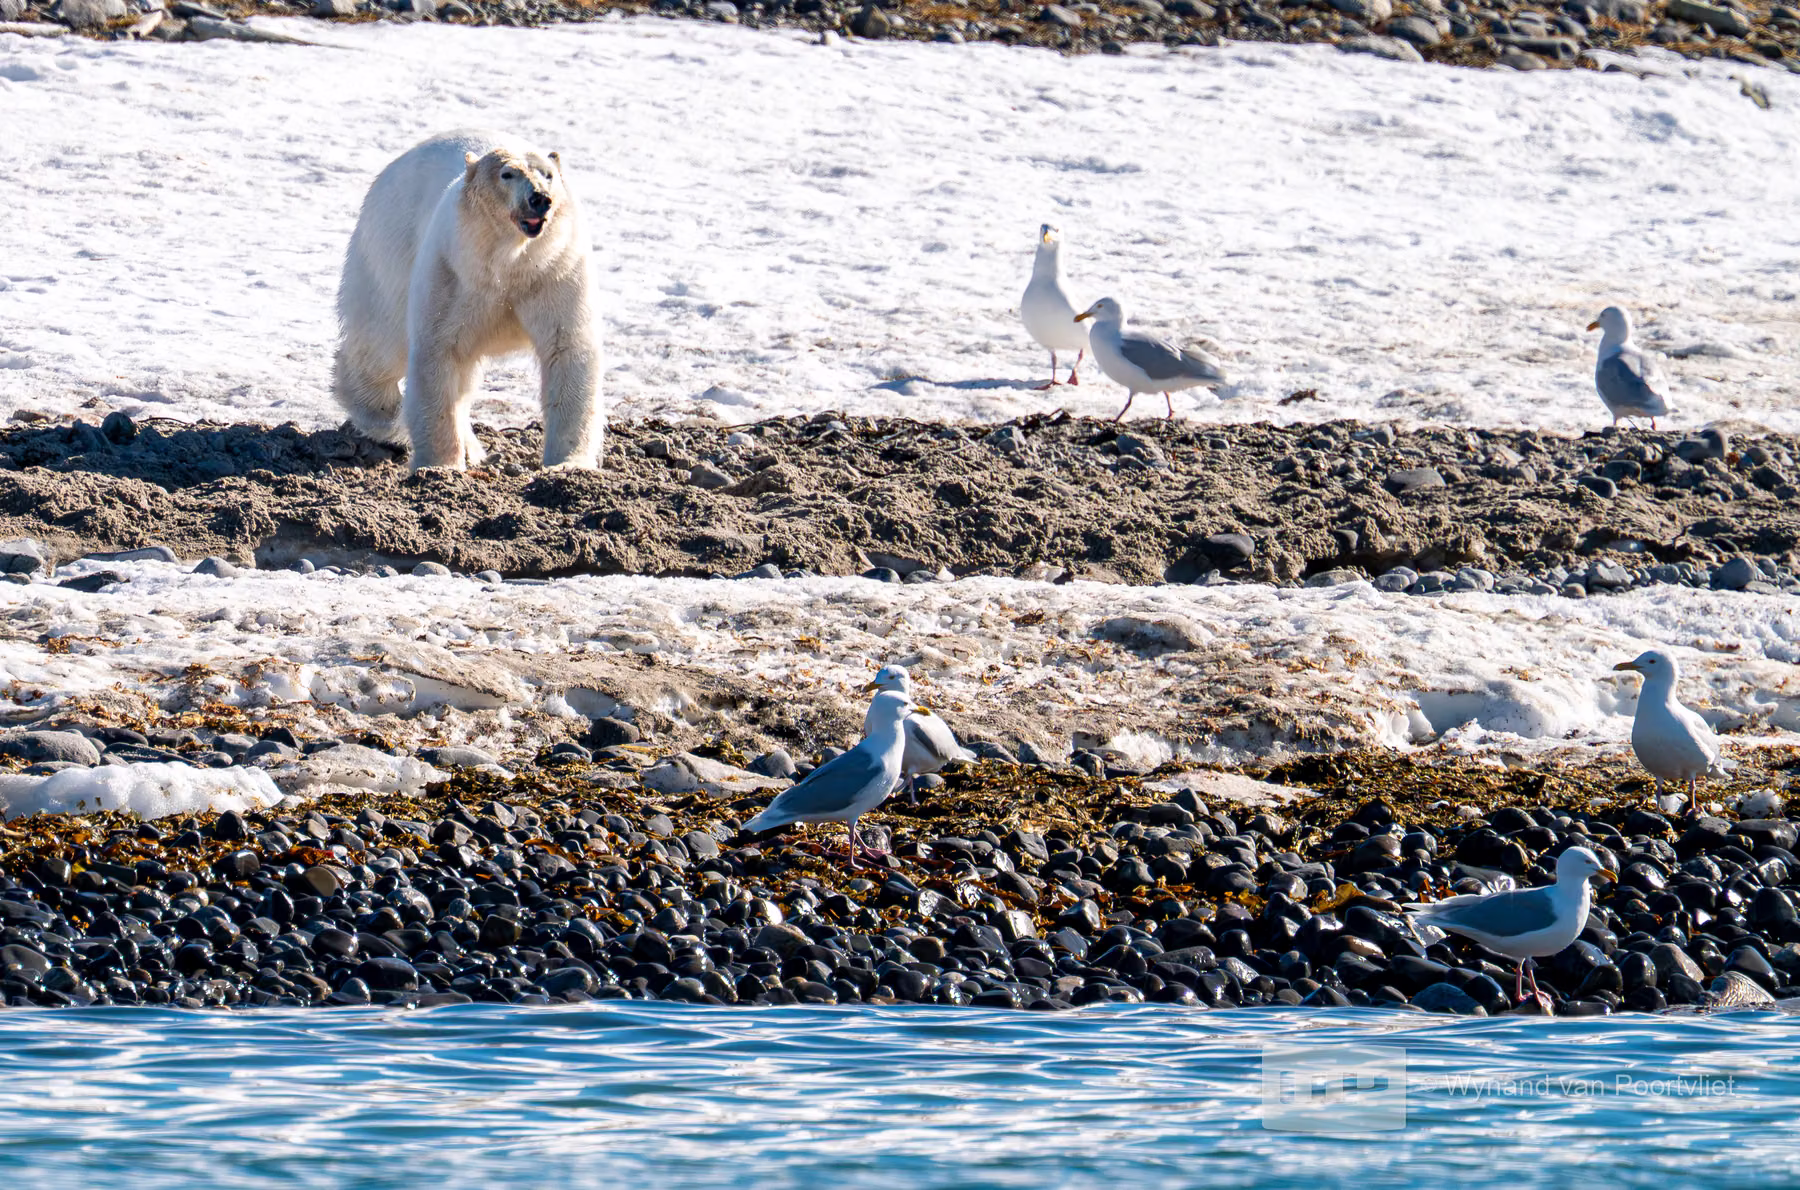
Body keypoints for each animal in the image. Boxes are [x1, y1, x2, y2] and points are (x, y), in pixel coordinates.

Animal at [332, 130, 604, 471]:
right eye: (507, 174)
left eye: (548, 174)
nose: (540, 198)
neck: (508, 264)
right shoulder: (452, 272)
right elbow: (438, 350)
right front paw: (440, 465)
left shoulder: (556, 272)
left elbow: (566, 349)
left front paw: (567, 463)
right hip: (390, 251)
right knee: (381, 343)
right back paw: (383, 415)